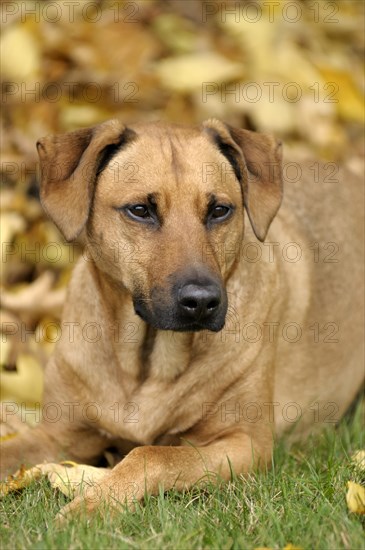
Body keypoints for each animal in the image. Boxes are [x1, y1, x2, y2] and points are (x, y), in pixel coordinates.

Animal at [1, 118, 362, 520]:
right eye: (140, 209)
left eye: (219, 210)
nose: (202, 302)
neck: (147, 359)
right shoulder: (58, 435)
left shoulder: (245, 444)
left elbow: (150, 454)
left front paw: (90, 508)